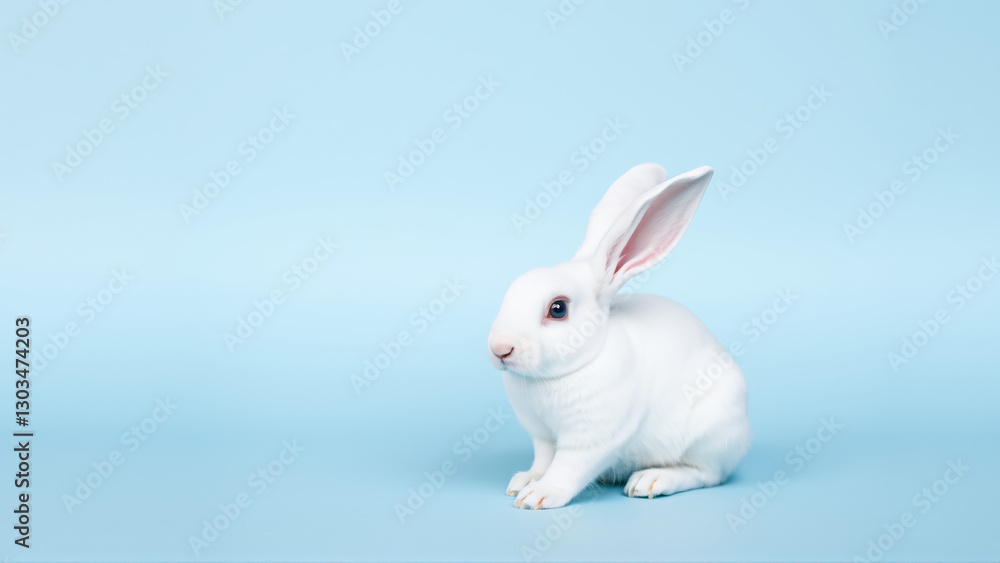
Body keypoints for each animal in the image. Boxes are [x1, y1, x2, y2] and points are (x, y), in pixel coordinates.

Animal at [487, 164, 750, 509]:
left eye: (558, 309)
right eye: (511, 290)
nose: (500, 349)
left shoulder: (591, 438)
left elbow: (567, 467)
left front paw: (539, 495)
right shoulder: (542, 436)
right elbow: (544, 460)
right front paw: (525, 481)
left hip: (709, 436)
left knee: (708, 475)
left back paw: (650, 480)